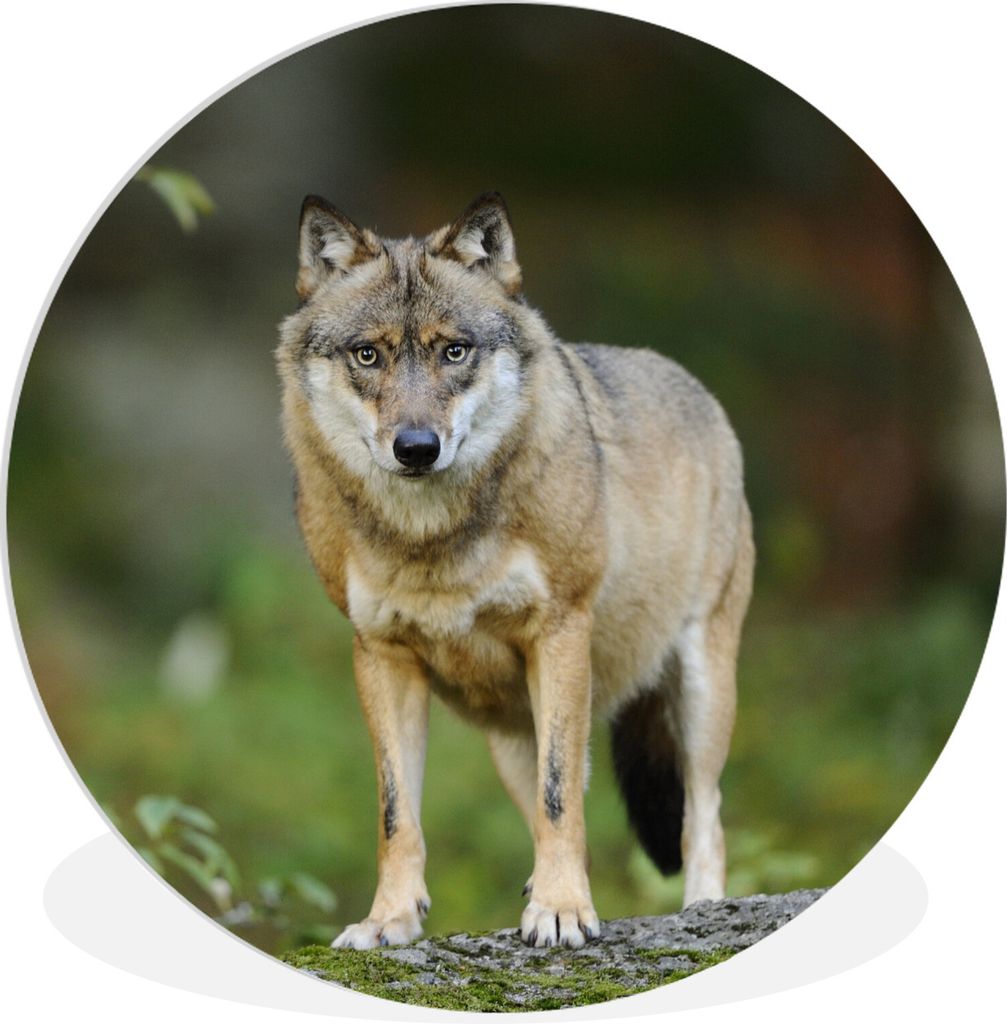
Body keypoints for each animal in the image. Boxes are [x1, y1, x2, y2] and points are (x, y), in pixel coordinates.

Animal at [275, 192, 754, 950]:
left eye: (454, 350)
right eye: (367, 354)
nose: (416, 448)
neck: (432, 542)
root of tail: (693, 385)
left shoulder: (558, 631)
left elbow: (561, 801)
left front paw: (560, 912)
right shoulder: (380, 656)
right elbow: (397, 814)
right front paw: (389, 920)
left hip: (700, 690)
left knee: (701, 815)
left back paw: (697, 913)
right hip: (510, 737)